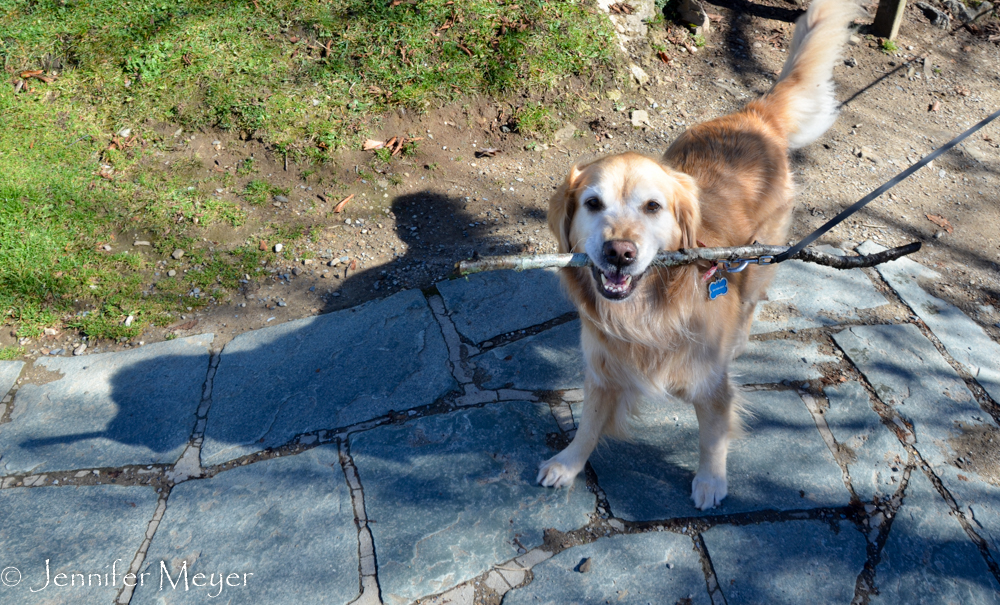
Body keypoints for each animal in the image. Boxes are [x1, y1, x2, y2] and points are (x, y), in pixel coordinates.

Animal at [540, 0, 860, 510]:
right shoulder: (604, 369)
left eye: (653, 207)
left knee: (750, 302)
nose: (620, 253)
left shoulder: (711, 385)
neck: (648, 312)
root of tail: (755, 114)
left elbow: (712, 437)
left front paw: (711, 482)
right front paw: (568, 463)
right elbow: (588, 424)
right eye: (592, 204)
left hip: (759, 259)